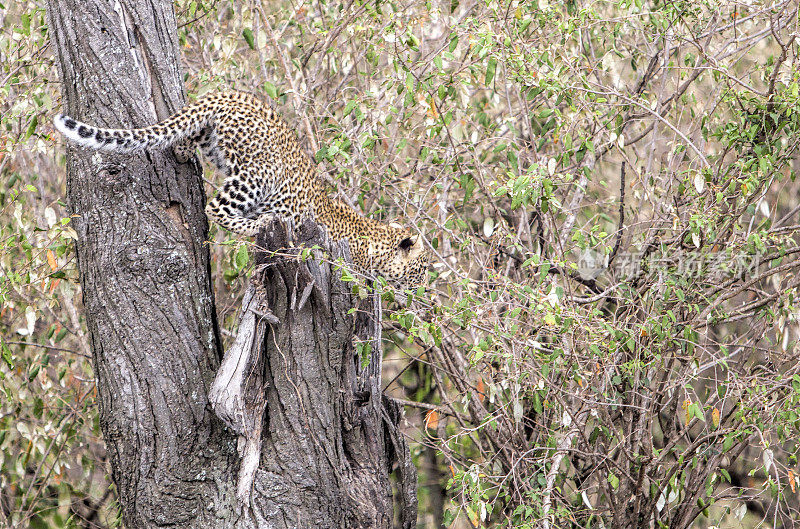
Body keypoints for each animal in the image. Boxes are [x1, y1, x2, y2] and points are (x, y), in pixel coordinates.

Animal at [54, 91, 432, 284]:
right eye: (420, 271)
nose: (421, 290)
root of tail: (226, 95)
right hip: (258, 174)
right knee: (216, 207)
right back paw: (256, 223)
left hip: (212, 142)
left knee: (182, 143)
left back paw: (182, 151)